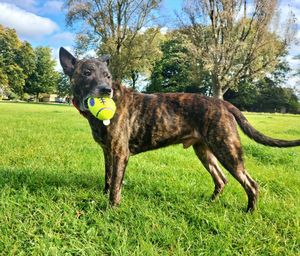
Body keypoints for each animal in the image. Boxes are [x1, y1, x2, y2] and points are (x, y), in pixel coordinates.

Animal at [59, 47, 300, 212]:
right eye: (87, 72)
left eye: (108, 76)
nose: (105, 90)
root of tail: (223, 104)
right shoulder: (108, 152)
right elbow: (109, 178)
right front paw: (103, 196)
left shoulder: (120, 152)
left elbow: (116, 185)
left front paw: (111, 209)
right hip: (205, 151)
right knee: (221, 179)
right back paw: (210, 203)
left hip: (228, 151)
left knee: (251, 184)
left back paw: (249, 212)